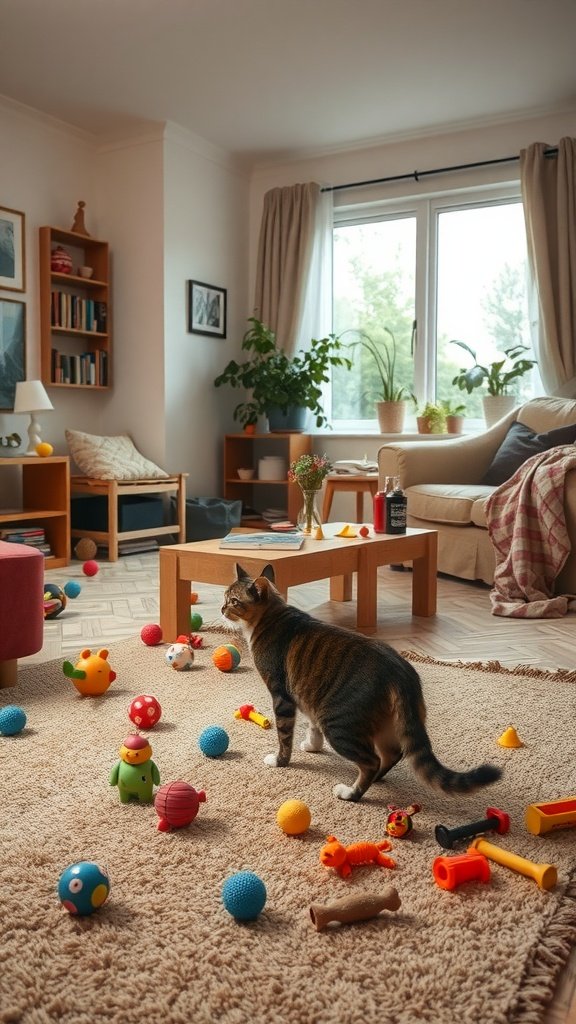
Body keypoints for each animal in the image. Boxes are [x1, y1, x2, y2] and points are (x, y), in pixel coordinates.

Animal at [219, 565, 498, 802]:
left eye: (234, 601)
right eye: (224, 597)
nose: (221, 609)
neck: (270, 617)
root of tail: (400, 672)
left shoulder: (282, 695)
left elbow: (284, 736)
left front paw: (280, 761)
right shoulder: (308, 695)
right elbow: (312, 726)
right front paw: (312, 746)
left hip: (340, 724)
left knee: (371, 761)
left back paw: (351, 792)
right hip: (384, 724)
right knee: (392, 754)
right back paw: (374, 781)